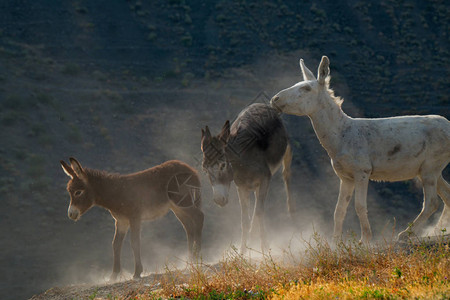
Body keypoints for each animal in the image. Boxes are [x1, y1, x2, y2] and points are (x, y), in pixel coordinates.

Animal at [60, 158, 204, 280]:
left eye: (78, 192)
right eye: (69, 192)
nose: (71, 214)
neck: (116, 192)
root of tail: (190, 169)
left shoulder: (135, 218)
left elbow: (134, 242)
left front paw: (137, 272)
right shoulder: (121, 222)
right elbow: (116, 244)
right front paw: (114, 275)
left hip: (182, 202)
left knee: (199, 217)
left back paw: (197, 256)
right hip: (178, 208)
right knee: (189, 228)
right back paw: (190, 260)